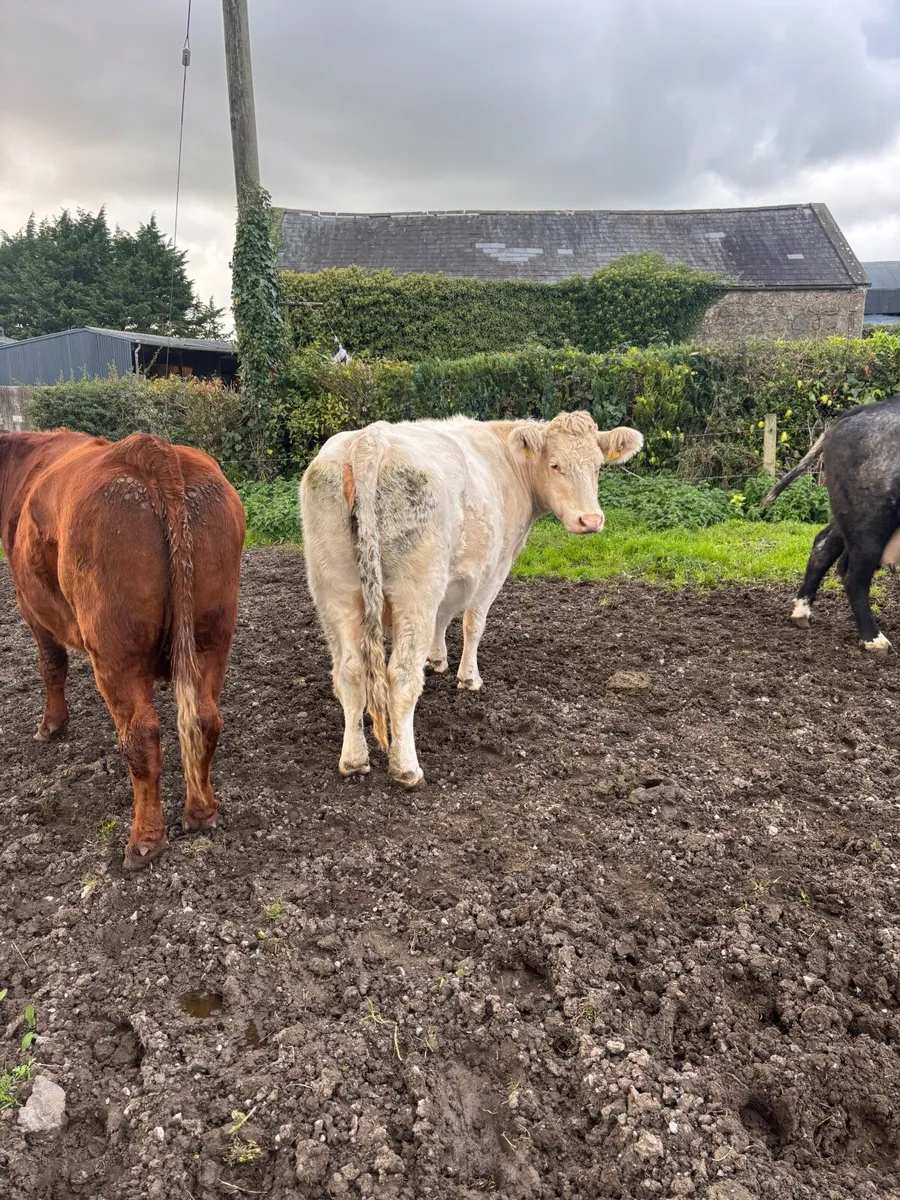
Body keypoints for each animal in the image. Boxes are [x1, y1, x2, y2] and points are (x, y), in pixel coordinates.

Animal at [0, 430, 245, 867]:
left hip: (116, 651)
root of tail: (150, 449)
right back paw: (201, 813)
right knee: (204, 718)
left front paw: (52, 726)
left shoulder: (31, 605)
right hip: (211, 636)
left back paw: (144, 841)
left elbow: (51, 665)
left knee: (141, 735)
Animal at [300, 410, 643, 786]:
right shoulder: (494, 568)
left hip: (334, 587)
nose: (590, 520)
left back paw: (353, 759)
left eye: (597, 466)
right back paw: (406, 768)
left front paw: (436, 659)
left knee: (350, 671)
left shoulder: (452, 577)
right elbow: (473, 624)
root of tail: (368, 440)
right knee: (401, 675)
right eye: (555, 464)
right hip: (414, 589)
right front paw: (468, 677)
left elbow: (443, 616)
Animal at [761, 394, 900, 652]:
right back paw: (874, 640)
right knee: (854, 577)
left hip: (848, 515)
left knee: (822, 546)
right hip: (869, 519)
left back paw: (801, 614)